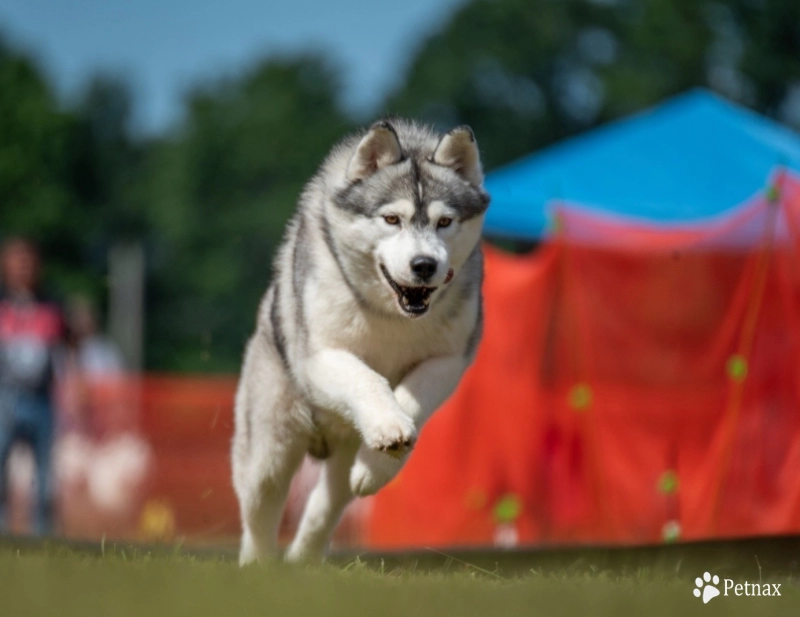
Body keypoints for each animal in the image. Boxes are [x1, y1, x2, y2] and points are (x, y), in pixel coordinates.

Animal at [233, 116, 488, 564]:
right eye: (392, 219)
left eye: (444, 222)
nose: (424, 265)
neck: (393, 314)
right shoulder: (320, 356)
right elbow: (366, 378)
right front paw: (388, 424)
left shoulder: (449, 359)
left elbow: (411, 398)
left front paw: (381, 460)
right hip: (268, 447)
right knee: (259, 511)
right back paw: (259, 566)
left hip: (340, 456)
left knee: (327, 503)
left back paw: (303, 558)